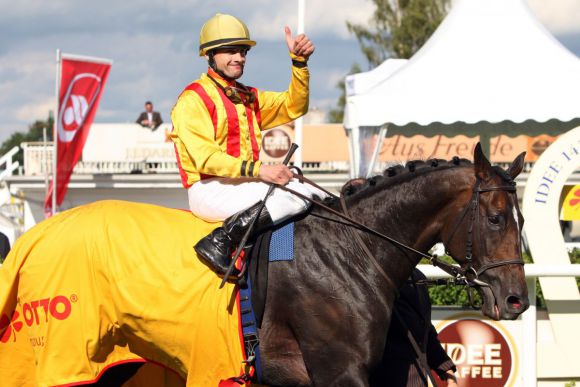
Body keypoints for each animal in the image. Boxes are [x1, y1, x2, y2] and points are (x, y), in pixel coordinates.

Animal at [0, 144, 524, 386]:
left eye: (520, 218)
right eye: (496, 217)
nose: (516, 298)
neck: (353, 248)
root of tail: (35, 235)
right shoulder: (339, 372)